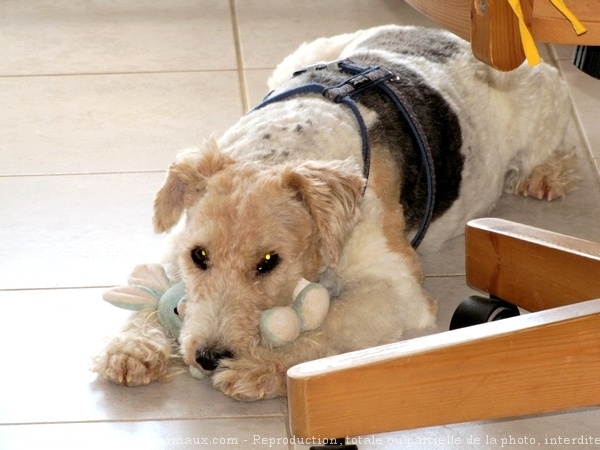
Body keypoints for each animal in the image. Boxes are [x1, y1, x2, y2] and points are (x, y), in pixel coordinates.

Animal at [94, 25, 576, 400]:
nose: (208, 357)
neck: (281, 151)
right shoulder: (178, 242)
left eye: (269, 261)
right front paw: (131, 349)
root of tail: (453, 36)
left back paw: (544, 175)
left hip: (538, 105)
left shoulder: (397, 288)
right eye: (199, 256)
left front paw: (259, 368)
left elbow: (332, 323)